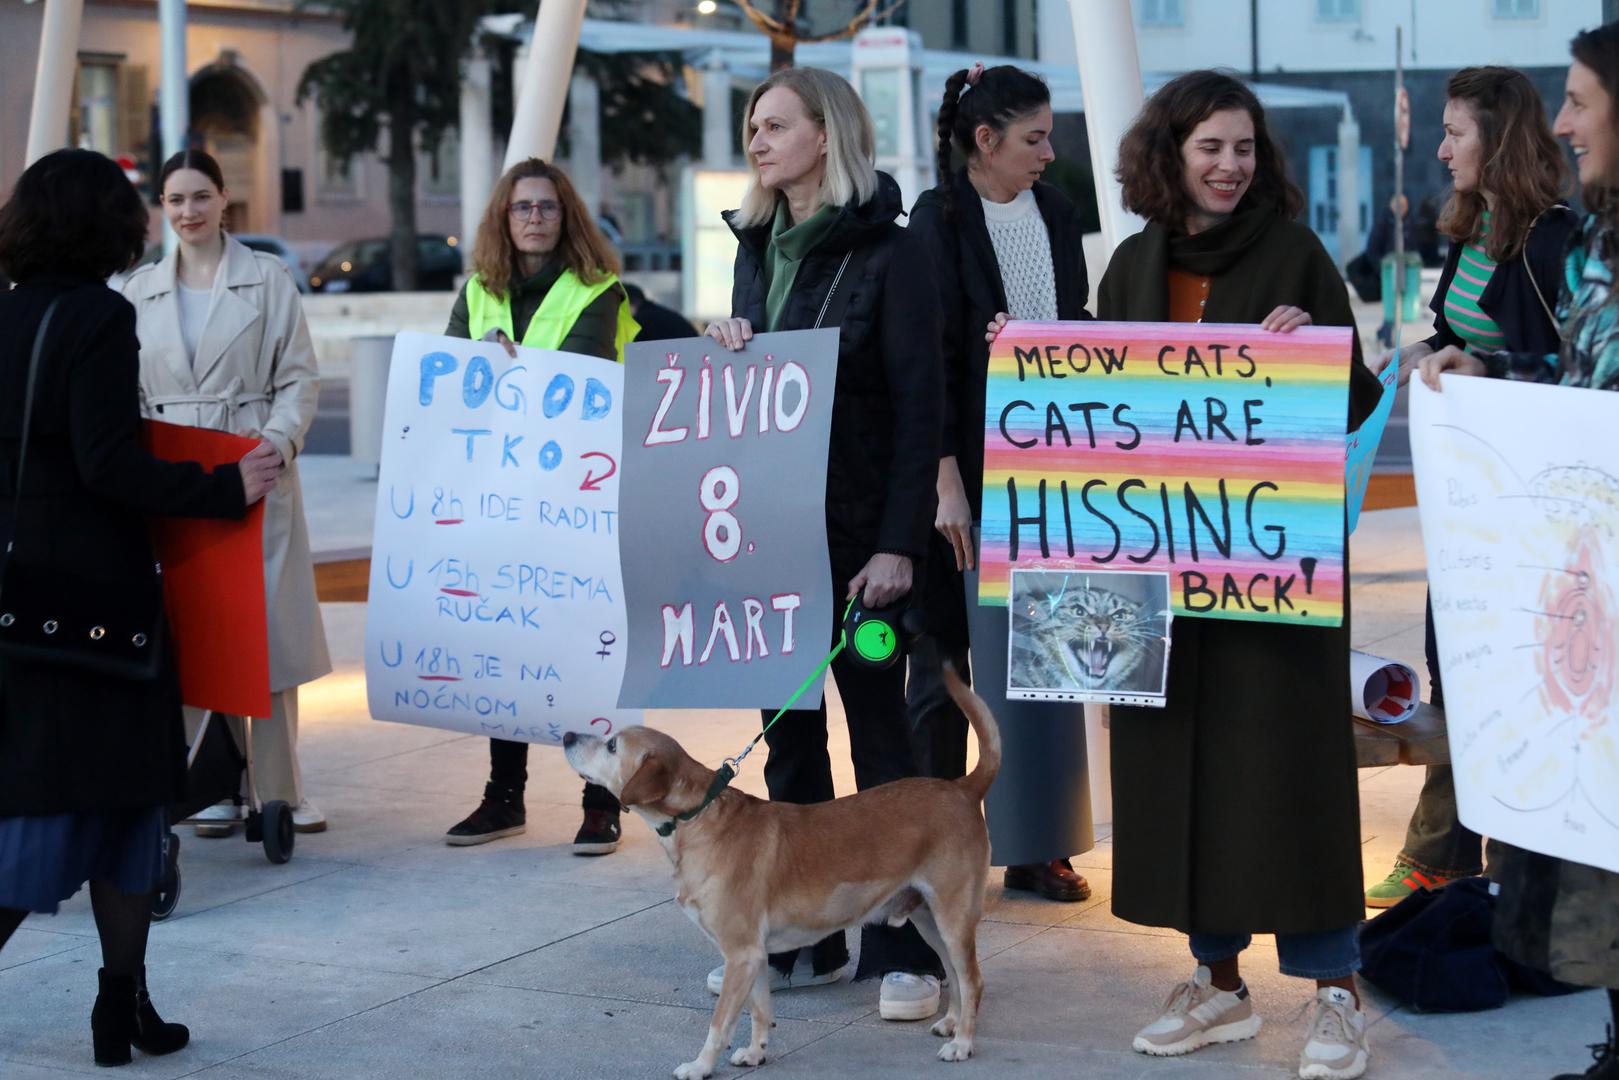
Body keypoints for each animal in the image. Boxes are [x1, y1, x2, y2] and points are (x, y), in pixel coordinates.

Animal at [566, 670, 997, 1075]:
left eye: (612, 745)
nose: (568, 734)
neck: (699, 817)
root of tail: (963, 789)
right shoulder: (753, 957)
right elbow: (759, 1010)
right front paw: (756, 1052)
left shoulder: (740, 953)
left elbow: (719, 1023)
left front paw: (700, 1066)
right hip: (929, 919)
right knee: (955, 976)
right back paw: (952, 1023)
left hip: (952, 918)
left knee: (973, 979)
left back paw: (963, 1043)